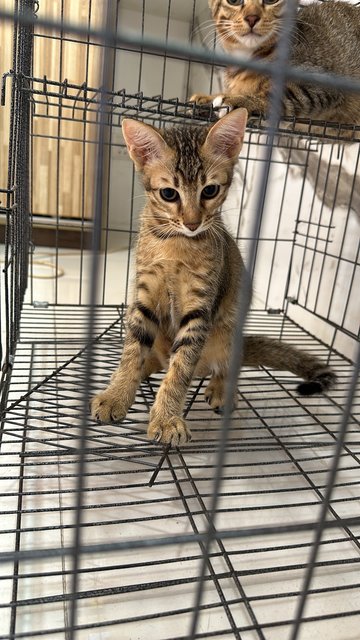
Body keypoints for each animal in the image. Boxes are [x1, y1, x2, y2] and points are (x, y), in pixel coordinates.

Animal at [91, 110, 336, 444]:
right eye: (169, 194)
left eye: (210, 190)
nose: (193, 223)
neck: (176, 244)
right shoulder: (144, 296)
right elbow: (132, 350)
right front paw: (116, 393)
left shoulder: (200, 308)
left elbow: (180, 368)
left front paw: (167, 417)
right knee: (159, 357)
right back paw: (146, 367)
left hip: (228, 327)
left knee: (222, 366)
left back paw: (221, 389)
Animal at [191, 0, 360, 125]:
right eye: (234, 1)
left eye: (271, 0)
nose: (251, 17)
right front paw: (206, 99)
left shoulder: (320, 83)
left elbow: (277, 96)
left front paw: (242, 101)